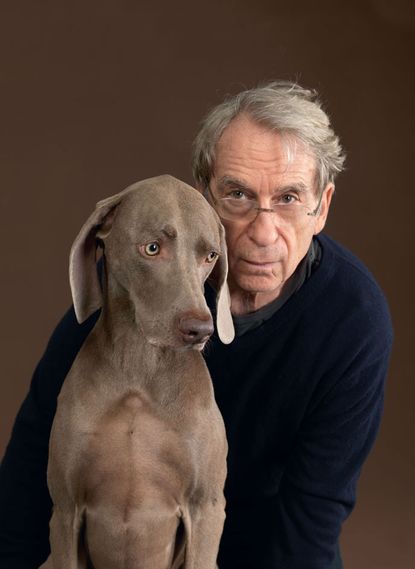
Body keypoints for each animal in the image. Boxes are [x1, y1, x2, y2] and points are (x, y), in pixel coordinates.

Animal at [47, 174, 236, 568]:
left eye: (210, 255)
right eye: (152, 248)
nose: (201, 329)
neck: (139, 369)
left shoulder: (206, 507)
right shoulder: (65, 508)